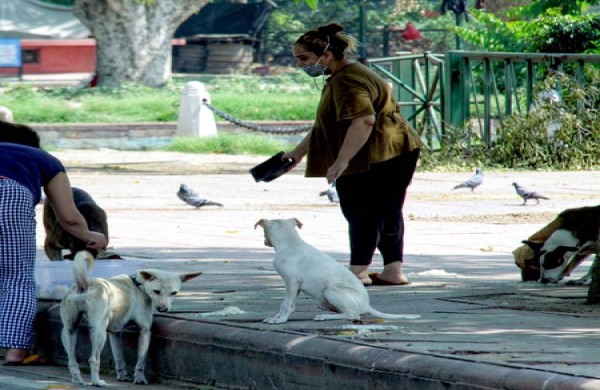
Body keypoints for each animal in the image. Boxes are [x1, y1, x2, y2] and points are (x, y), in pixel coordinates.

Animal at [59, 251, 203, 386]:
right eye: (156, 291)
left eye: (174, 293)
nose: (163, 309)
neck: (138, 285)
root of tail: (85, 284)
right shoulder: (145, 331)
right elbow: (141, 360)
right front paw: (139, 379)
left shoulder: (114, 332)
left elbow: (119, 357)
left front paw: (122, 376)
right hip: (99, 332)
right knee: (93, 359)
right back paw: (97, 382)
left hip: (69, 330)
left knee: (71, 359)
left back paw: (77, 380)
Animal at [255, 219, 420, 322]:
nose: (264, 242)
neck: (291, 242)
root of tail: (366, 305)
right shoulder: (295, 287)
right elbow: (286, 303)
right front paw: (276, 317)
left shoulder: (291, 282)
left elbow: (286, 304)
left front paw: (280, 320)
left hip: (331, 290)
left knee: (353, 315)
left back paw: (324, 317)